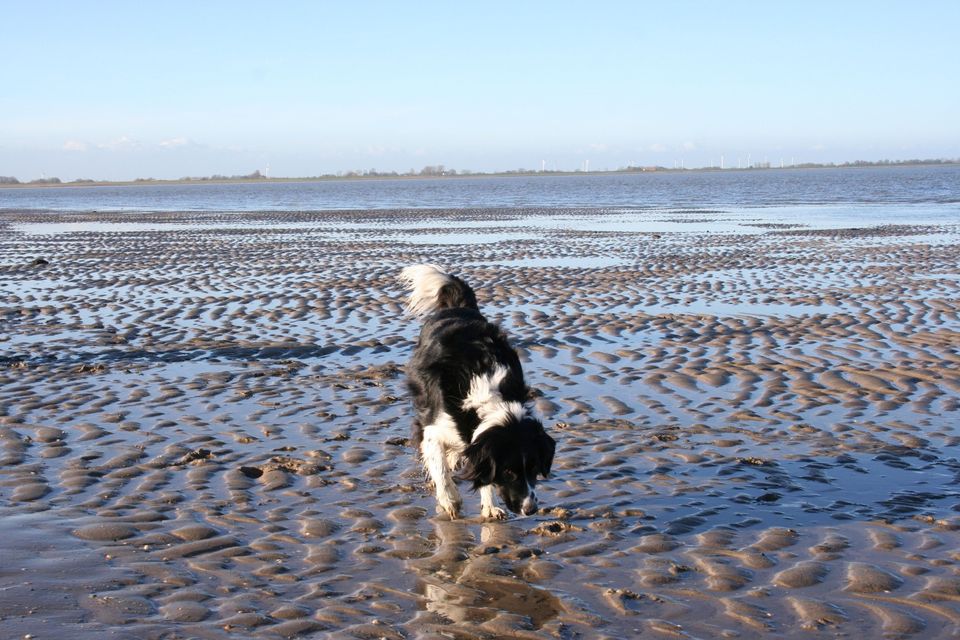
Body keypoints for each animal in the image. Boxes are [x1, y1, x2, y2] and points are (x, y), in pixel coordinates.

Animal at [398, 264, 556, 520]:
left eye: (534, 469)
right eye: (509, 472)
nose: (530, 510)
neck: (487, 395)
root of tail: (458, 308)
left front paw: (489, 506)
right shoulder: (432, 427)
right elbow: (440, 467)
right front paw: (449, 500)